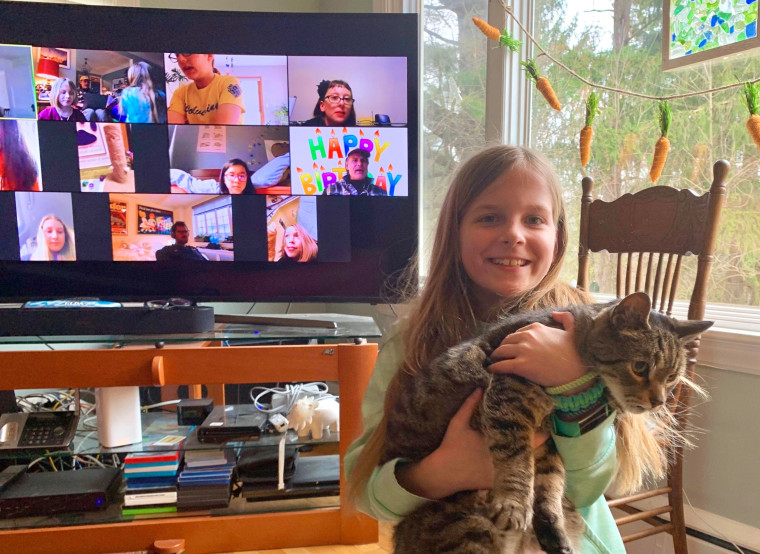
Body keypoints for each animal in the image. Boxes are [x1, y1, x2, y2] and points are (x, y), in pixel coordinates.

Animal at [386, 292, 712, 548]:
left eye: (671, 377)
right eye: (640, 367)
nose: (659, 401)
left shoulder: (550, 444)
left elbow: (550, 484)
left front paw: (551, 526)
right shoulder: (509, 395)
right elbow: (516, 459)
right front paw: (514, 504)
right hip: (467, 529)